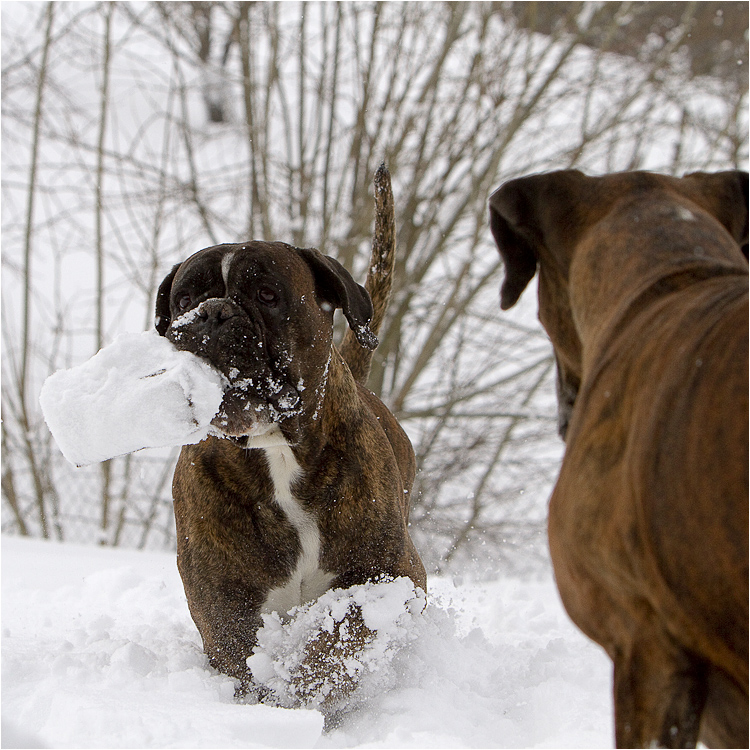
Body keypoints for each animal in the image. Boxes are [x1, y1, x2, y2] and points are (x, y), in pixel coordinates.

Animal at [156, 167, 426, 712]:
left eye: (266, 294)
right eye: (185, 300)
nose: (213, 313)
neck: (276, 450)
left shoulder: (394, 575)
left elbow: (345, 636)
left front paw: (308, 689)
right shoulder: (219, 595)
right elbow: (239, 653)